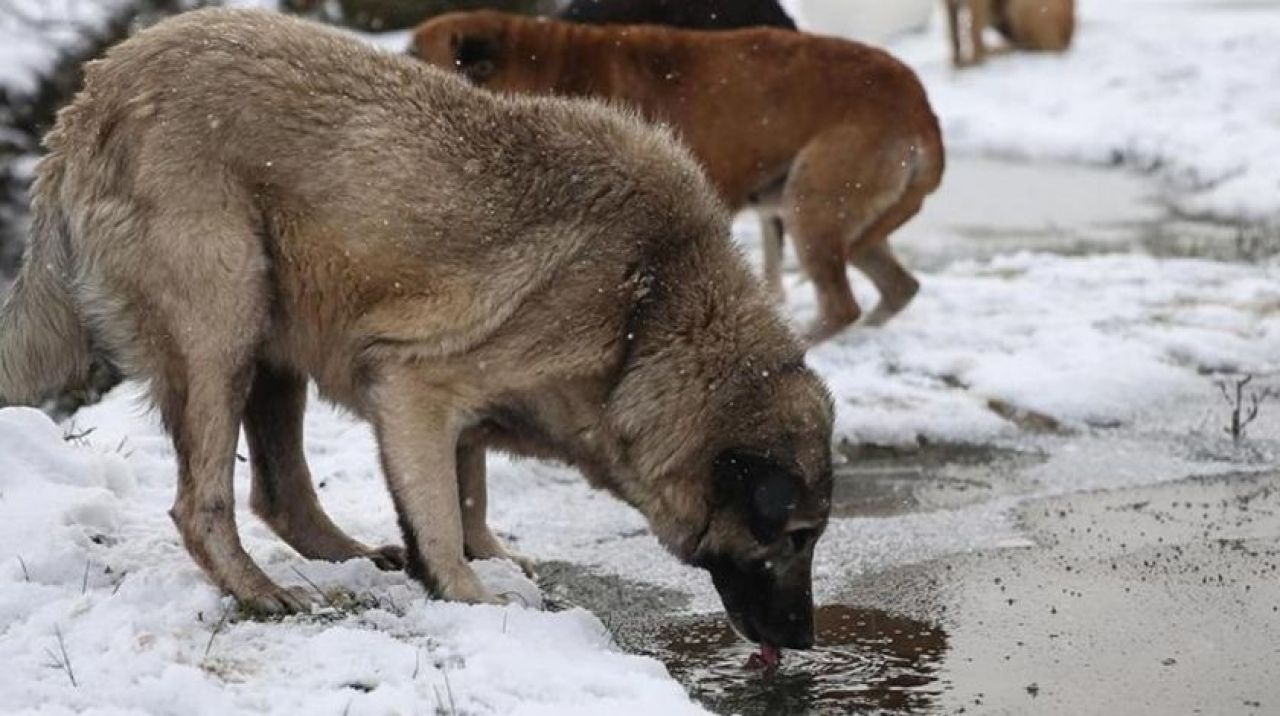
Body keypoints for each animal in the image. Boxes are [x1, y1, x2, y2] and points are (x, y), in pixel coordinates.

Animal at [0, 8, 839, 653]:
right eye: (796, 538)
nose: (805, 640)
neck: (652, 310)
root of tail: (90, 97)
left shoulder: (457, 417)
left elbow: (469, 497)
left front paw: (490, 561)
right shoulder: (413, 388)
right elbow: (438, 518)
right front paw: (472, 594)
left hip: (271, 347)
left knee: (281, 495)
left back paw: (353, 559)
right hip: (224, 327)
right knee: (200, 506)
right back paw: (262, 591)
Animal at [414, 12, 947, 343]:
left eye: (418, 58)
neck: (539, 67)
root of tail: (920, 106)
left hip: (811, 204)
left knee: (841, 305)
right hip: (840, 216)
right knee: (897, 288)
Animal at [947, 0, 1075, 68]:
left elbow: (974, 33)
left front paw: (974, 62)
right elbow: (953, 37)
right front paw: (956, 62)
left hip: (1020, 7)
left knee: (1037, 46)